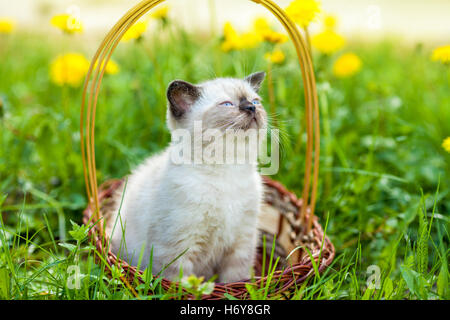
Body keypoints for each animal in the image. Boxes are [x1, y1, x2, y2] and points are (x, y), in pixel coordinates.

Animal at [106, 71, 268, 282]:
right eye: (227, 104)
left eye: (256, 101)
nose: (251, 107)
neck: (228, 168)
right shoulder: (178, 247)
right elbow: (181, 282)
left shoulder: (241, 243)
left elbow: (234, 280)